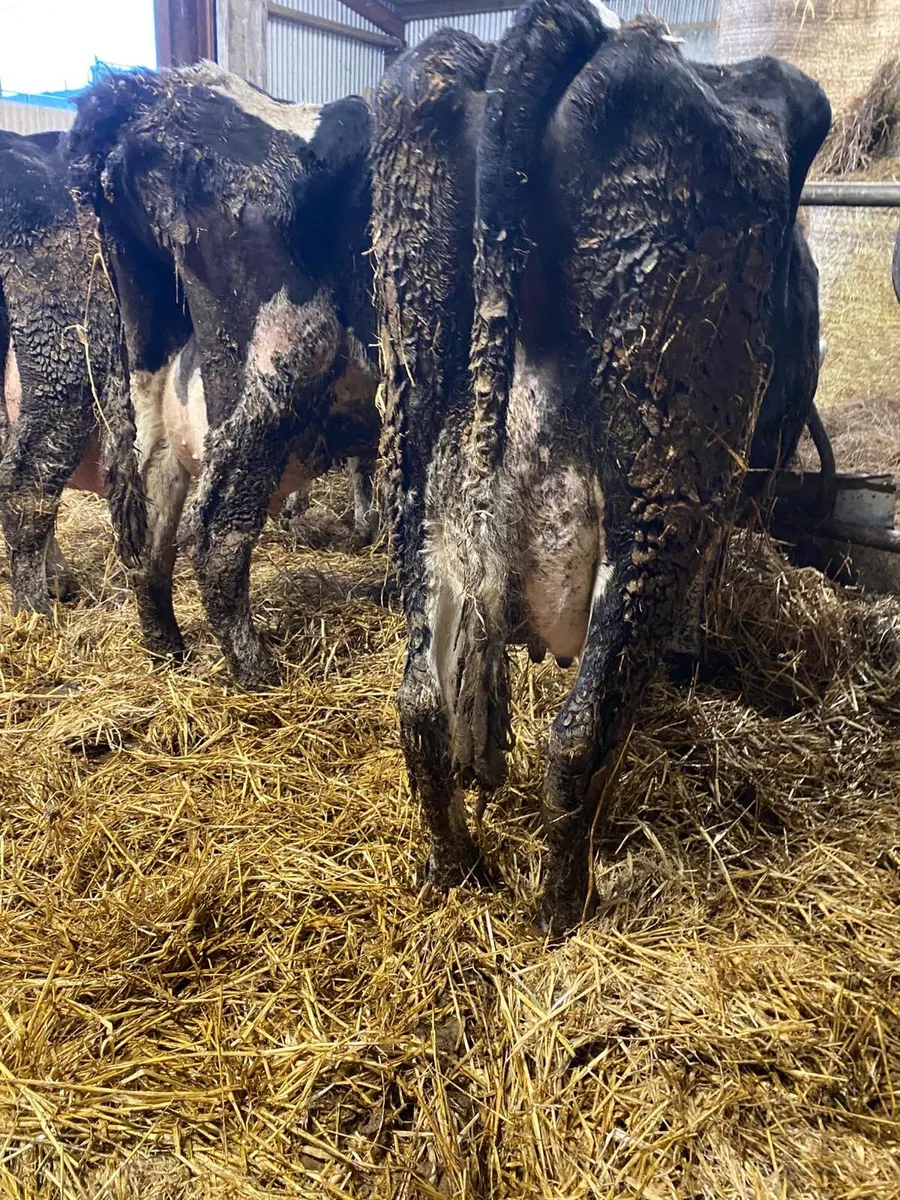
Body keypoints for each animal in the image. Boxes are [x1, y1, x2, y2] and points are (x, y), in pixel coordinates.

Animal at [67, 64, 379, 687]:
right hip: (280, 366)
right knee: (214, 536)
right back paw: (257, 673)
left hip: (149, 374)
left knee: (148, 523)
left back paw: (169, 653)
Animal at [371, 0, 830, 934]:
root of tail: (556, 26)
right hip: (666, 474)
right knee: (582, 728)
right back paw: (563, 905)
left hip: (409, 424)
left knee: (421, 704)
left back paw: (454, 868)